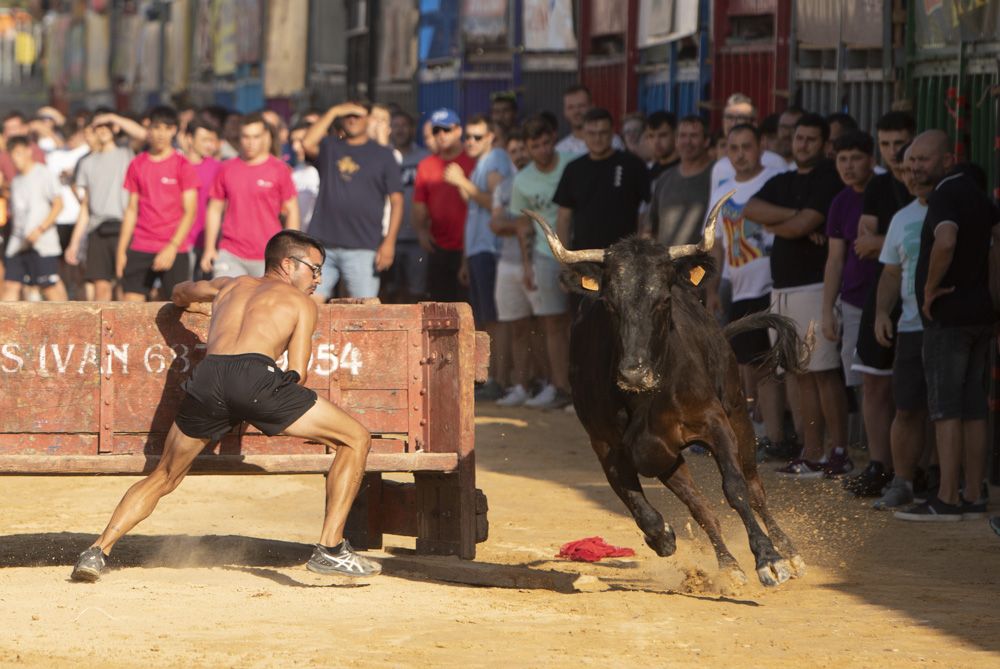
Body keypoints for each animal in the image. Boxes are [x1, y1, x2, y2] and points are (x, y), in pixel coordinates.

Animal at [528, 196, 808, 588]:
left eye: (662, 300)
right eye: (610, 303)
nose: (634, 373)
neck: (646, 398)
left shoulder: (715, 422)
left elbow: (735, 489)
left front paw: (769, 560)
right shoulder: (610, 447)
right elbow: (640, 505)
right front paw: (663, 538)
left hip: (739, 416)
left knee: (754, 489)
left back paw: (790, 553)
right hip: (668, 456)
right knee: (701, 507)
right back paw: (728, 566)